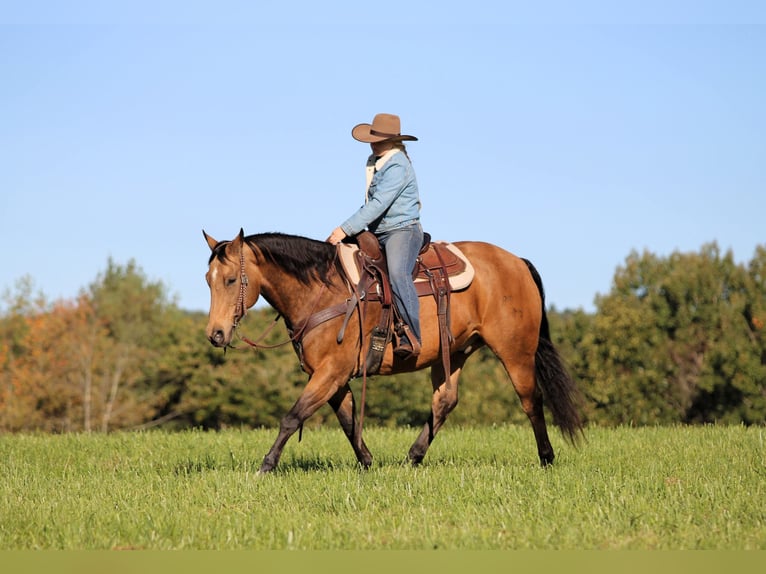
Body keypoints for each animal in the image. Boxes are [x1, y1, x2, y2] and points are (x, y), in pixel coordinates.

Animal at [203, 229, 582, 473]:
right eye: (208, 280)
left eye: (231, 280)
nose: (215, 334)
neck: (323, 291)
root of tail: (517, 262)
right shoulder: (333, 378)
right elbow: (348, 422)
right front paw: (368, 463)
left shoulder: (330, 374)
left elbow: (292, 417)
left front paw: (265, 466)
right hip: (453, 353)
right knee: (445, 402)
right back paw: (412, 458)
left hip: (515, 351)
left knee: (531, 399)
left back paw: (546, 458)